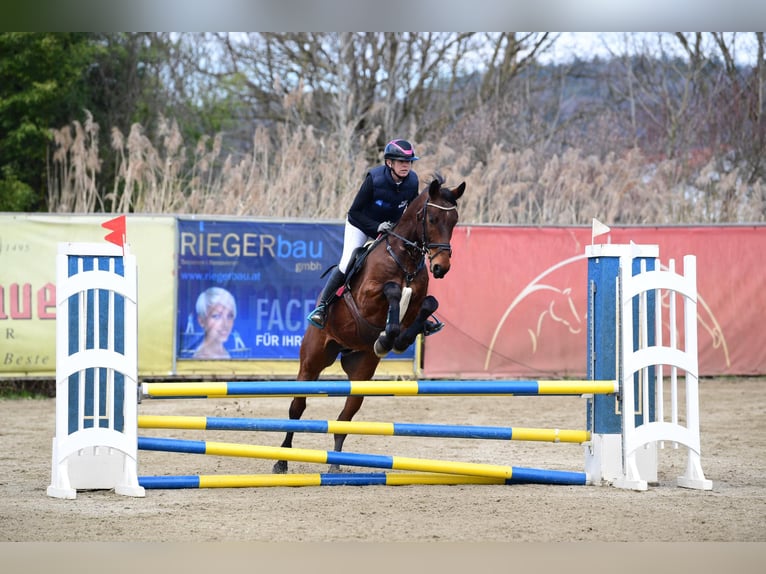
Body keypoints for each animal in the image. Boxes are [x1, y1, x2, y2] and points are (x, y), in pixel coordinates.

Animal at [276, 178, 468, 474]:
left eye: (455, 221)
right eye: (432, 219)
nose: (441, 267)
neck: (405, 257)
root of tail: (343, 349)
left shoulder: (417, 302)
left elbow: (428, 304)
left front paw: (395, 340)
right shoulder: (367, 299)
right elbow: (391, 291)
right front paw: (387, 337)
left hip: (361, 371)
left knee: (346, 415)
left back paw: (335, 464)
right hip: (312, 361)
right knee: (297, 408)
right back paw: (282, 460)